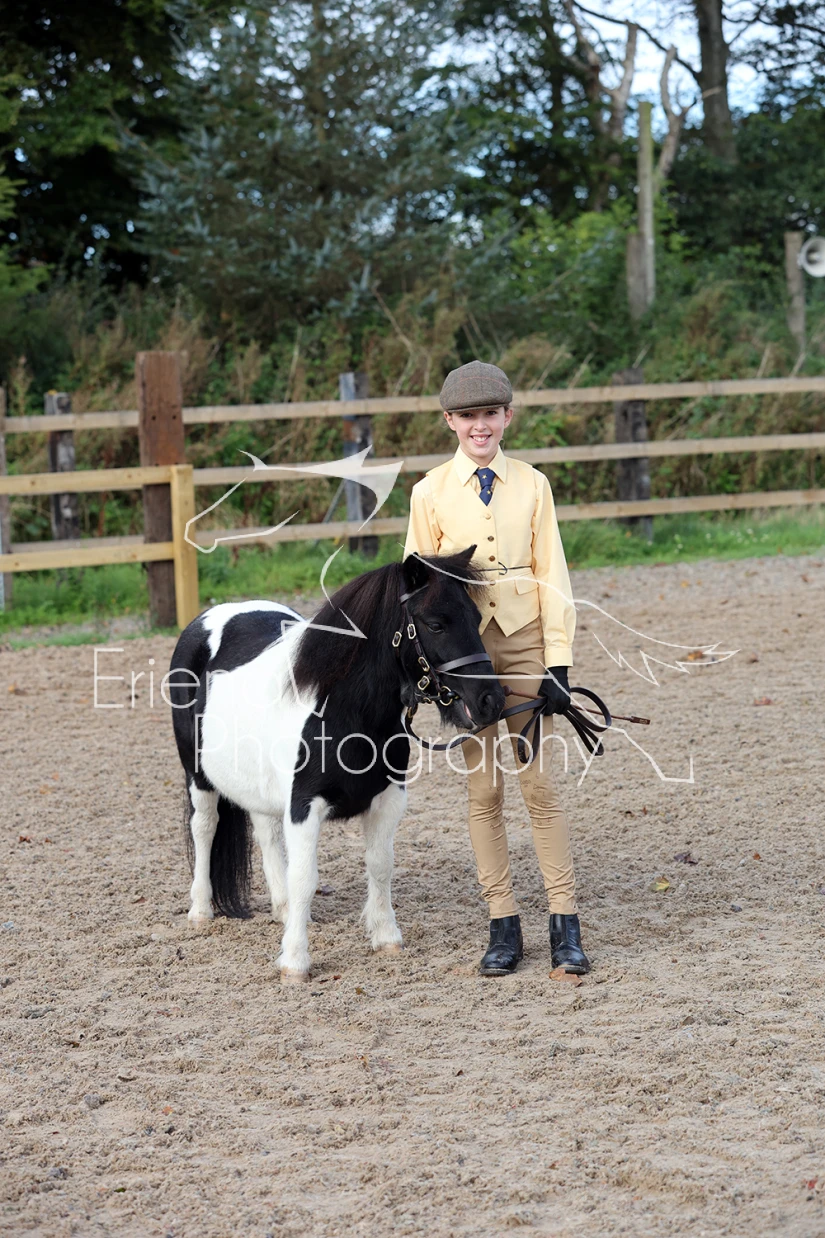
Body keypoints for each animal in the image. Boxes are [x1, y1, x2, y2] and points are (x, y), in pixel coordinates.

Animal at [167, 546, 505, 982]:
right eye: (435, 624)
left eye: (476, 618)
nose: (491, 701)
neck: (345, 710)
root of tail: (207, 618)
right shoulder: (303, 806)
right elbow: (305, 877)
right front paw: (295, 962)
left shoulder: (388, 801)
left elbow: (379, 865)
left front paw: (386, 937)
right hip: (198, 776)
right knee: (205, 828)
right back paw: (200, 911)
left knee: (265, 832)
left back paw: (281, 909)